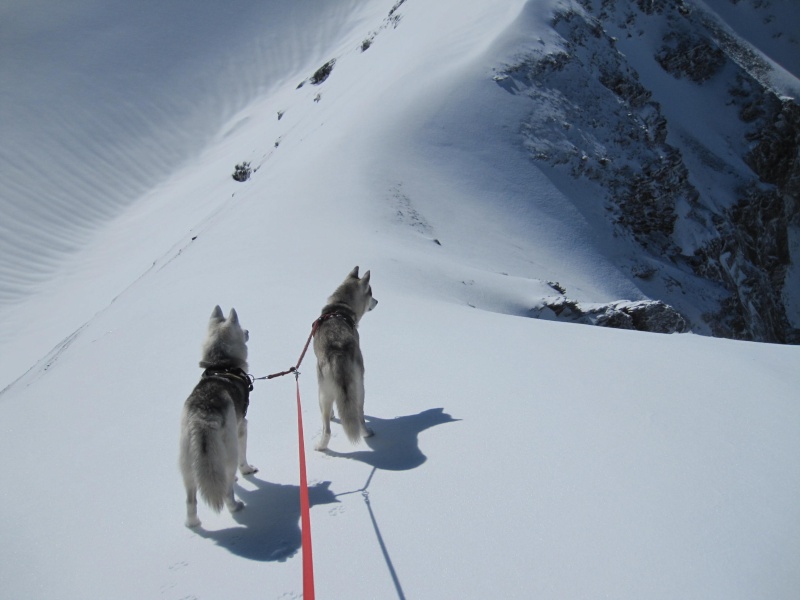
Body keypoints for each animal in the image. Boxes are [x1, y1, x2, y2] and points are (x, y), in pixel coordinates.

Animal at [180, 308, 258, 528]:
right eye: (241, 327)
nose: (248, 331)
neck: (222, 366)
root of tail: (202, 416)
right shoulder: (242, 427)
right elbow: (243, 460)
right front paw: (247, 471)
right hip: (228, 450)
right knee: (227, 488)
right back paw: (236, 507)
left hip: (187, 465)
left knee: (191, 499)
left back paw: (193, 523)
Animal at [312, 266, 378, 450]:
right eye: (371, 293)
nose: (377, 301)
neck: (340, 307)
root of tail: (338, 350)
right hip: (359, 386)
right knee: (358, 413)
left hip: (322, 392)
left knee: (328, 428)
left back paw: (321, 446)